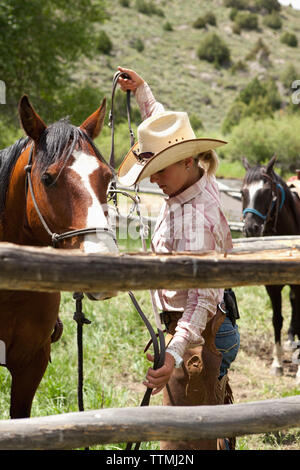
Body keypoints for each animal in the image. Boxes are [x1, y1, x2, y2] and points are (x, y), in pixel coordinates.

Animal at [241, 156, 300, 384]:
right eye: (243, 192)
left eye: (267, 192)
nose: (251, 228)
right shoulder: (272, 286)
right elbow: (277, 320)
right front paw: (277, 363)